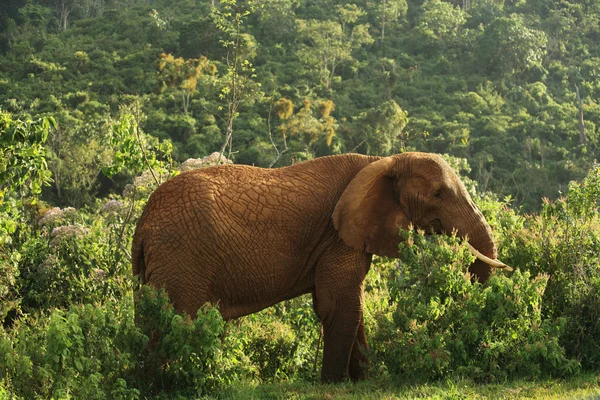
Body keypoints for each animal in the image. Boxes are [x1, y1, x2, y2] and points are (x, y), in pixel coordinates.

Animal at [131, 152, 510, 382]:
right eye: (438, 195)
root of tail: (144, 222)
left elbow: (348, 307)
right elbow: (339, 305)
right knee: (175, 322)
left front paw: (364, 381)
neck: (381, 162)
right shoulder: (337, 236)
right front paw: (336, 383)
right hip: (181, 258)